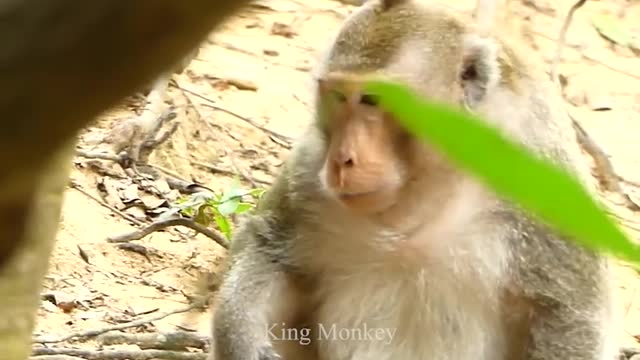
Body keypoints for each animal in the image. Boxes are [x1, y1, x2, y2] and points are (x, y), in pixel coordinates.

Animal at [211, 0, 620, 360]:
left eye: (373, 100)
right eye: (339, 97)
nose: (342, 160)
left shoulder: (546, 183)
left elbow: (567, 314)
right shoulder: (310, 167)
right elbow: (270, 246)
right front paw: (242, 341)